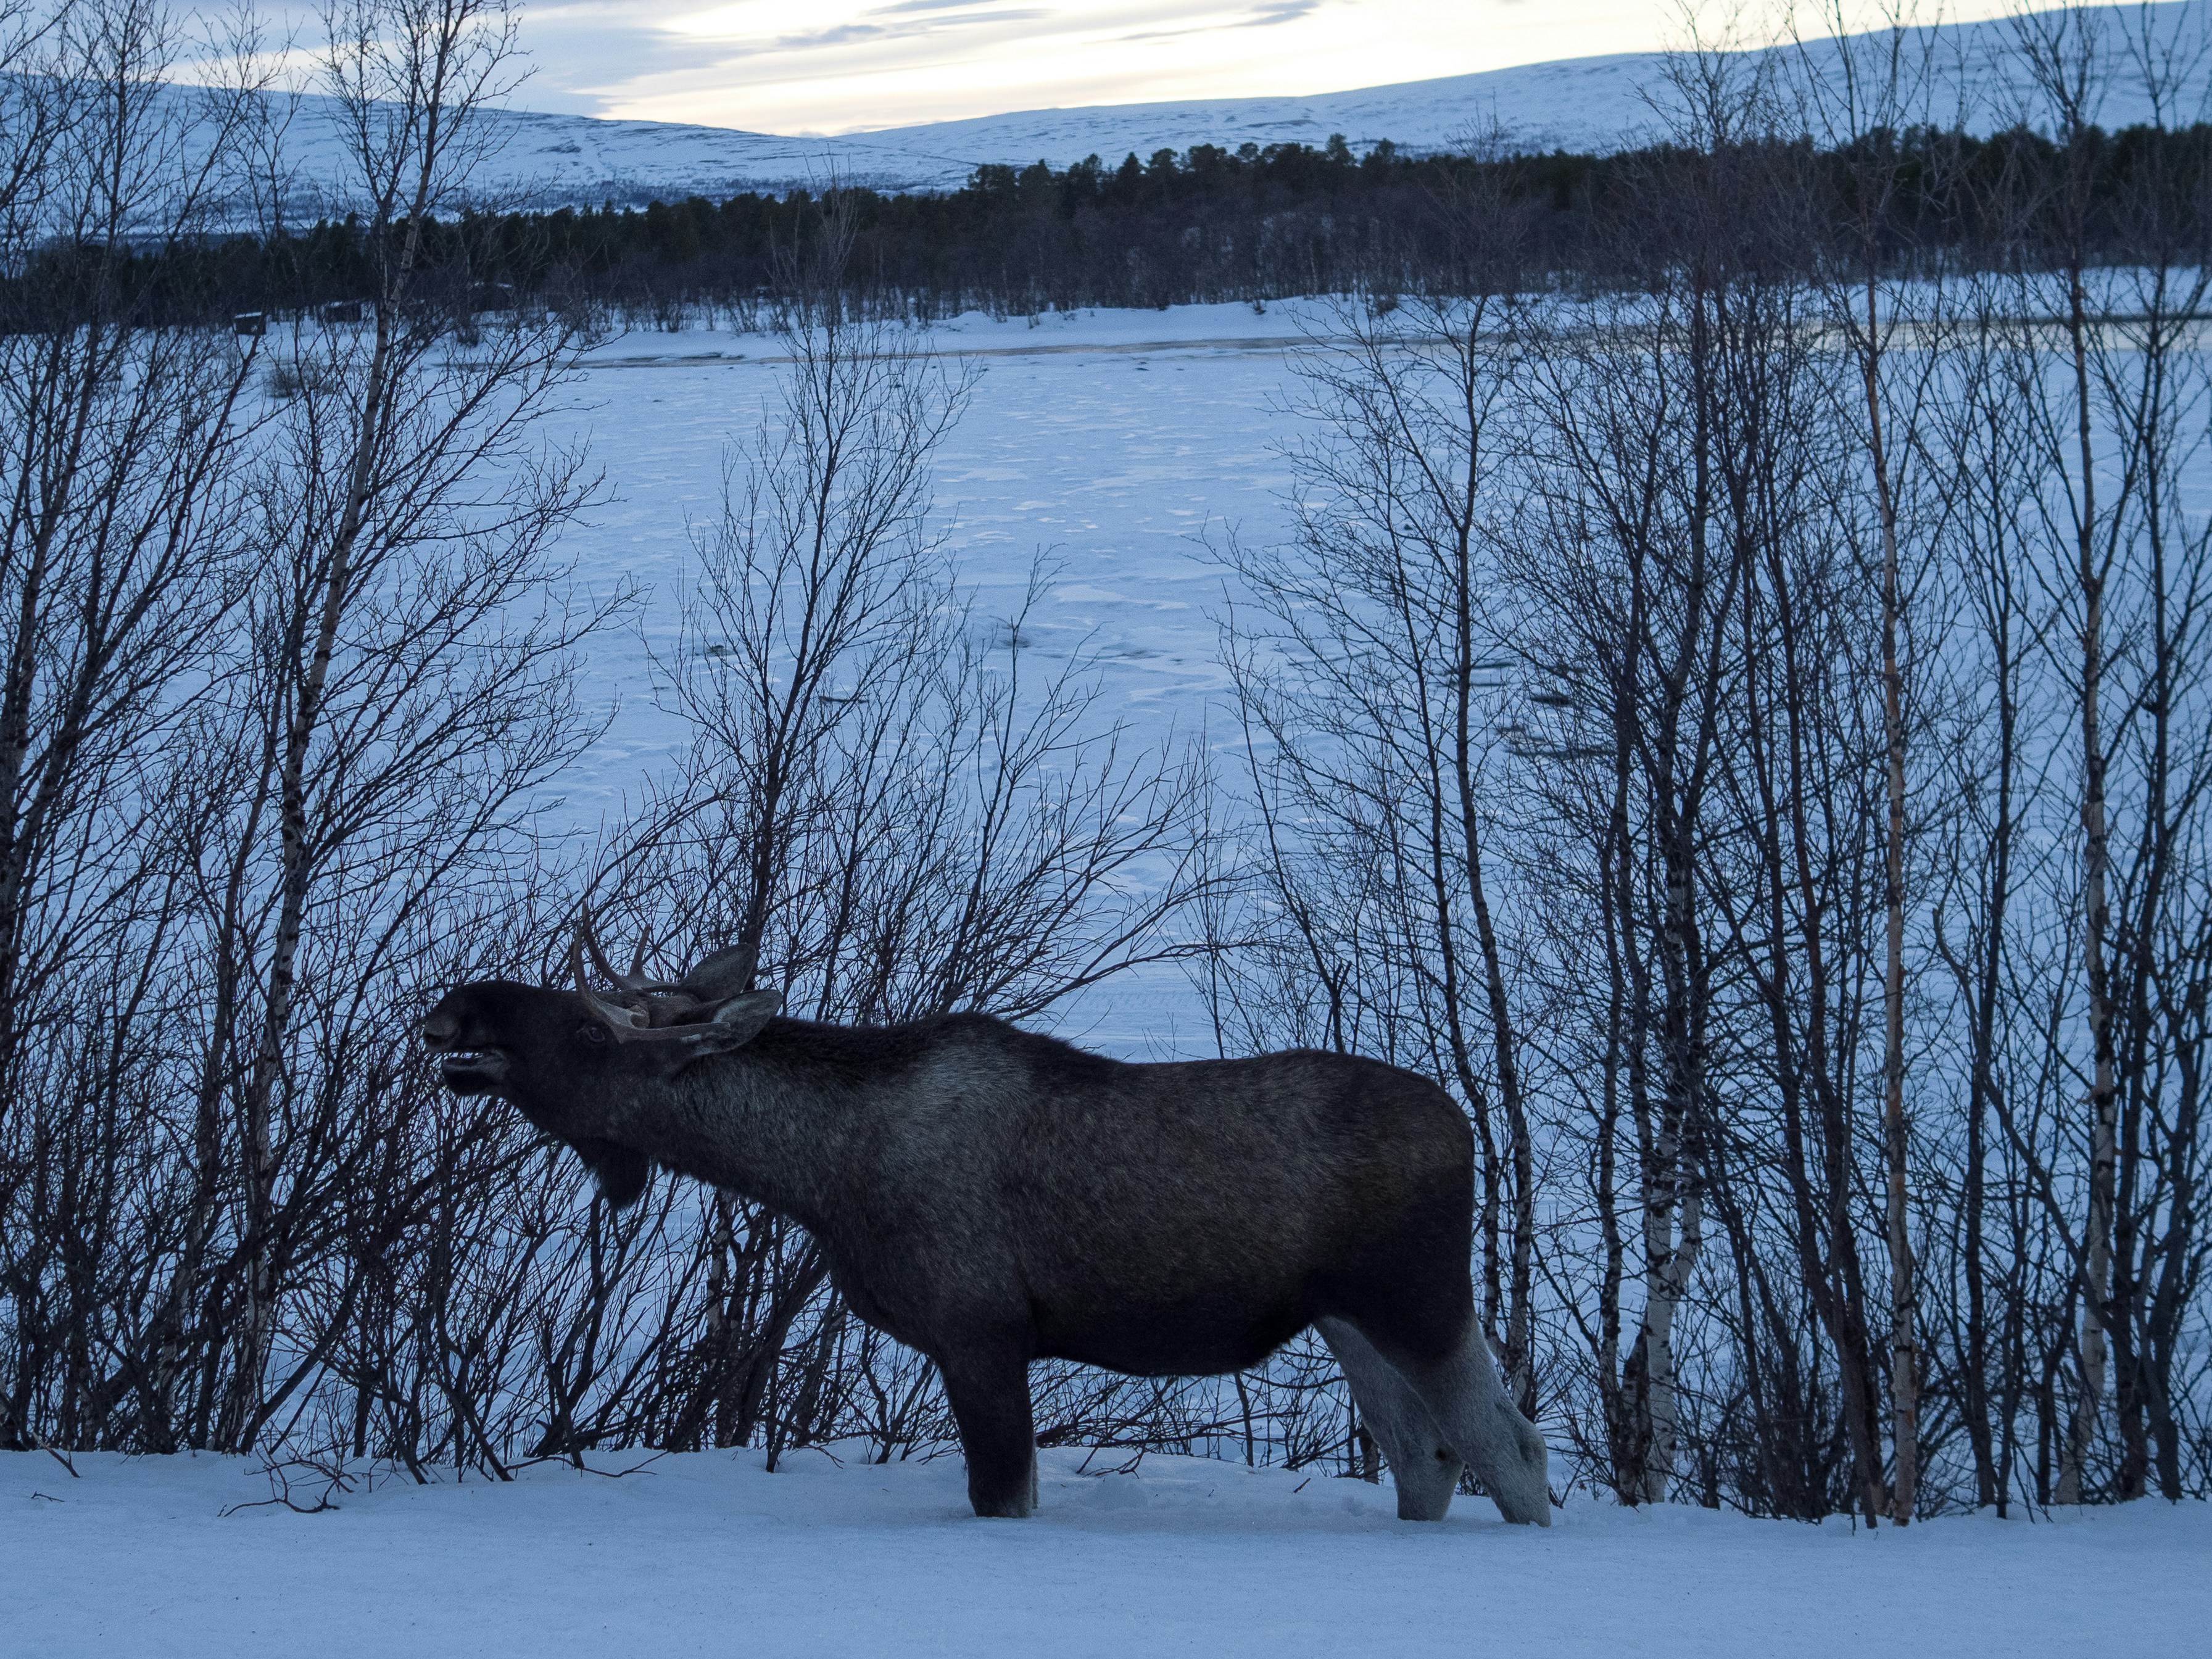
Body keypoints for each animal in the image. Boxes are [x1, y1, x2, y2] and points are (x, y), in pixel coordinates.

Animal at [419, 923, 1552, 1525]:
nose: (457, 1006)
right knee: (1426, 1452)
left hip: (1417, 1293)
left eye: (583, 1030)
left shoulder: (979, 1329)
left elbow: (1002, 1494)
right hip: (1347, 1316)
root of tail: (1468, 1127)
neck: (818, 1173)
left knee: (1509, 1442)